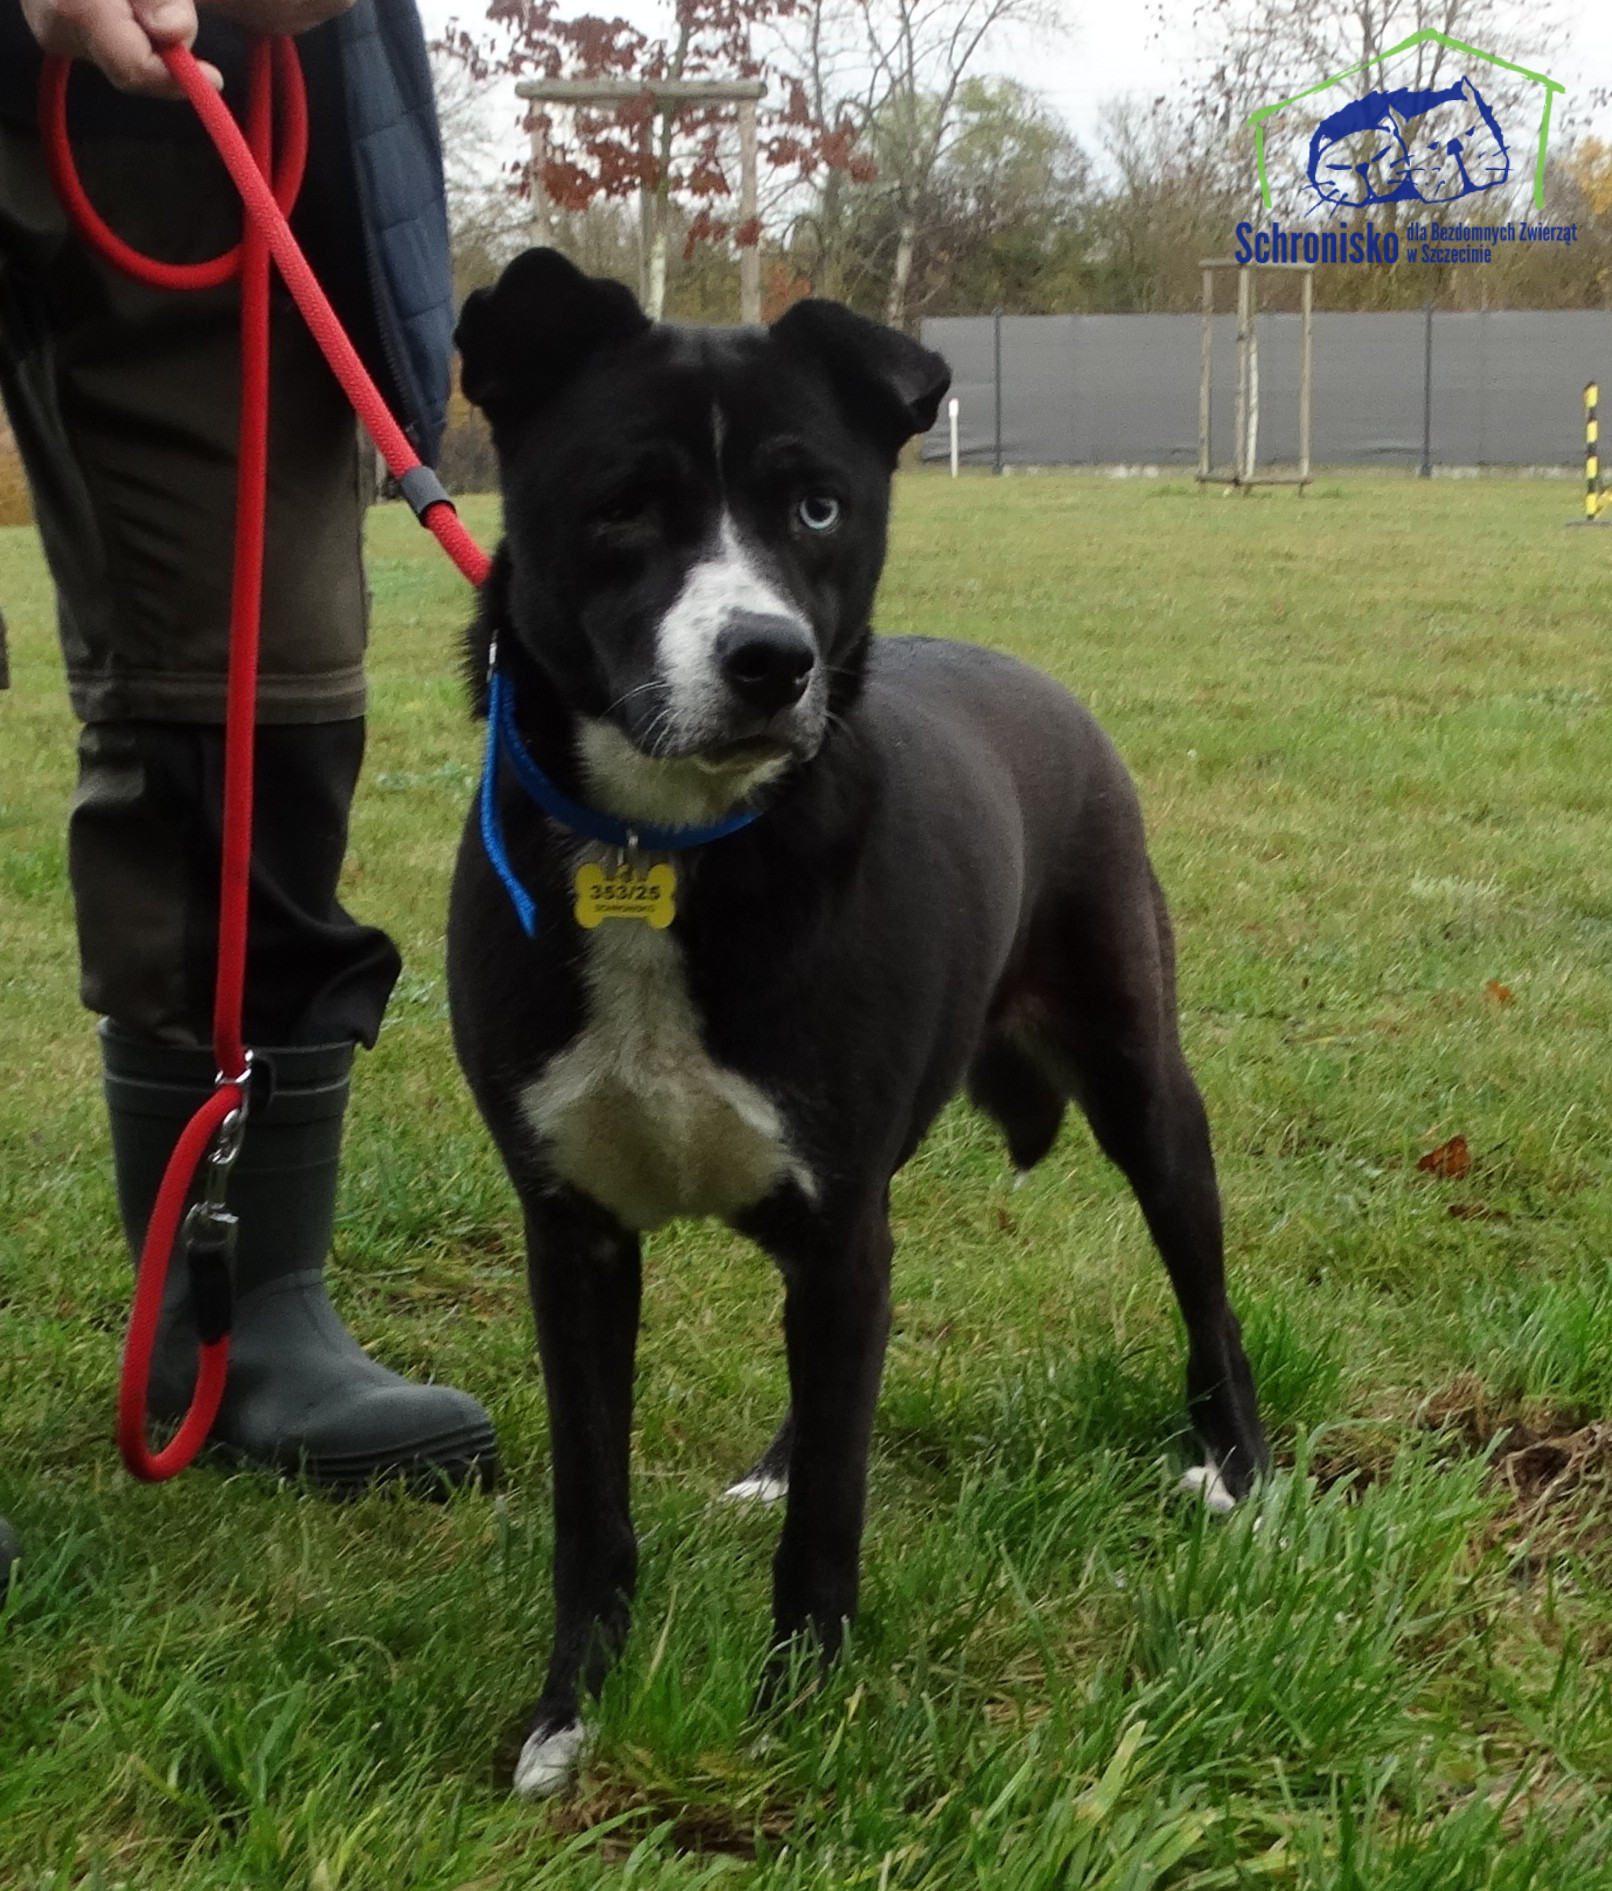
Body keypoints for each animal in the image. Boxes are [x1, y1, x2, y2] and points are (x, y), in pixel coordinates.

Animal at [446, 248, 1268, 1797]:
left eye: (818, 505)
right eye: (625, 502)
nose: (769, 659)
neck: (670, 852)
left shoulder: (836, 1223)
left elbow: (831, 1507)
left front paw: (802, 1708)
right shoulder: (575, 1233)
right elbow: (595, 1506)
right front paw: (569, 1712)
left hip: (1147, 1089)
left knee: (1205, 1287)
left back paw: (1242, 1467)